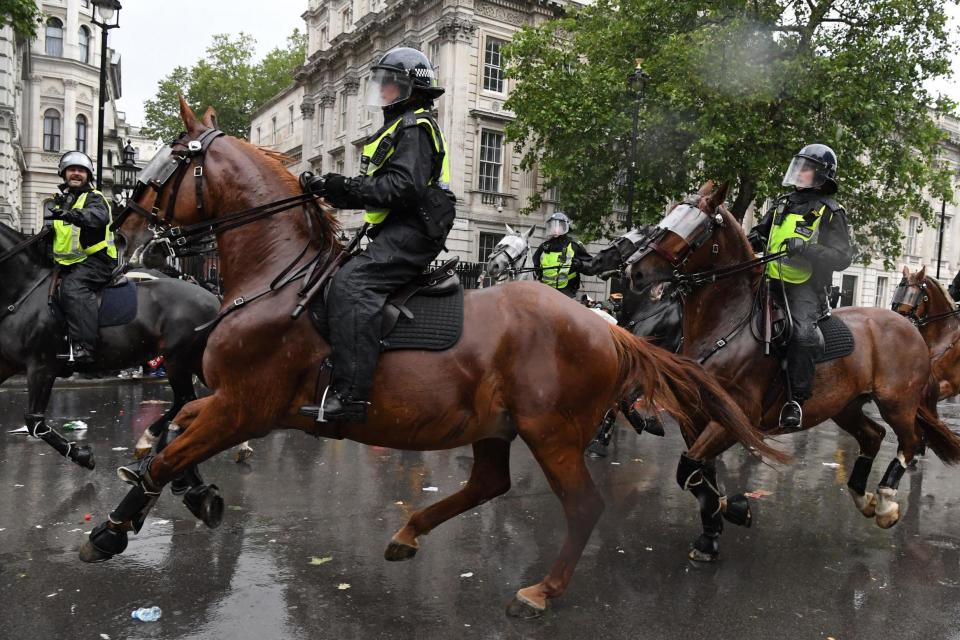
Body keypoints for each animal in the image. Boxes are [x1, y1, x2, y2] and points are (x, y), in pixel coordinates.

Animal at [79, 99, 788, 616]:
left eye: (169, 161)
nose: (120, 228)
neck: (280, 278)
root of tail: (607, 327)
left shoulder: (245, 406)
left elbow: (171, 448)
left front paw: (112, 530)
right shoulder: (227, 403)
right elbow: (171, 432)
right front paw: (184, 494)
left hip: (552, 432)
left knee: (582, 506)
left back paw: (542, 590)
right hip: (496, 425)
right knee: (489, 484)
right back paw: (408, 533)